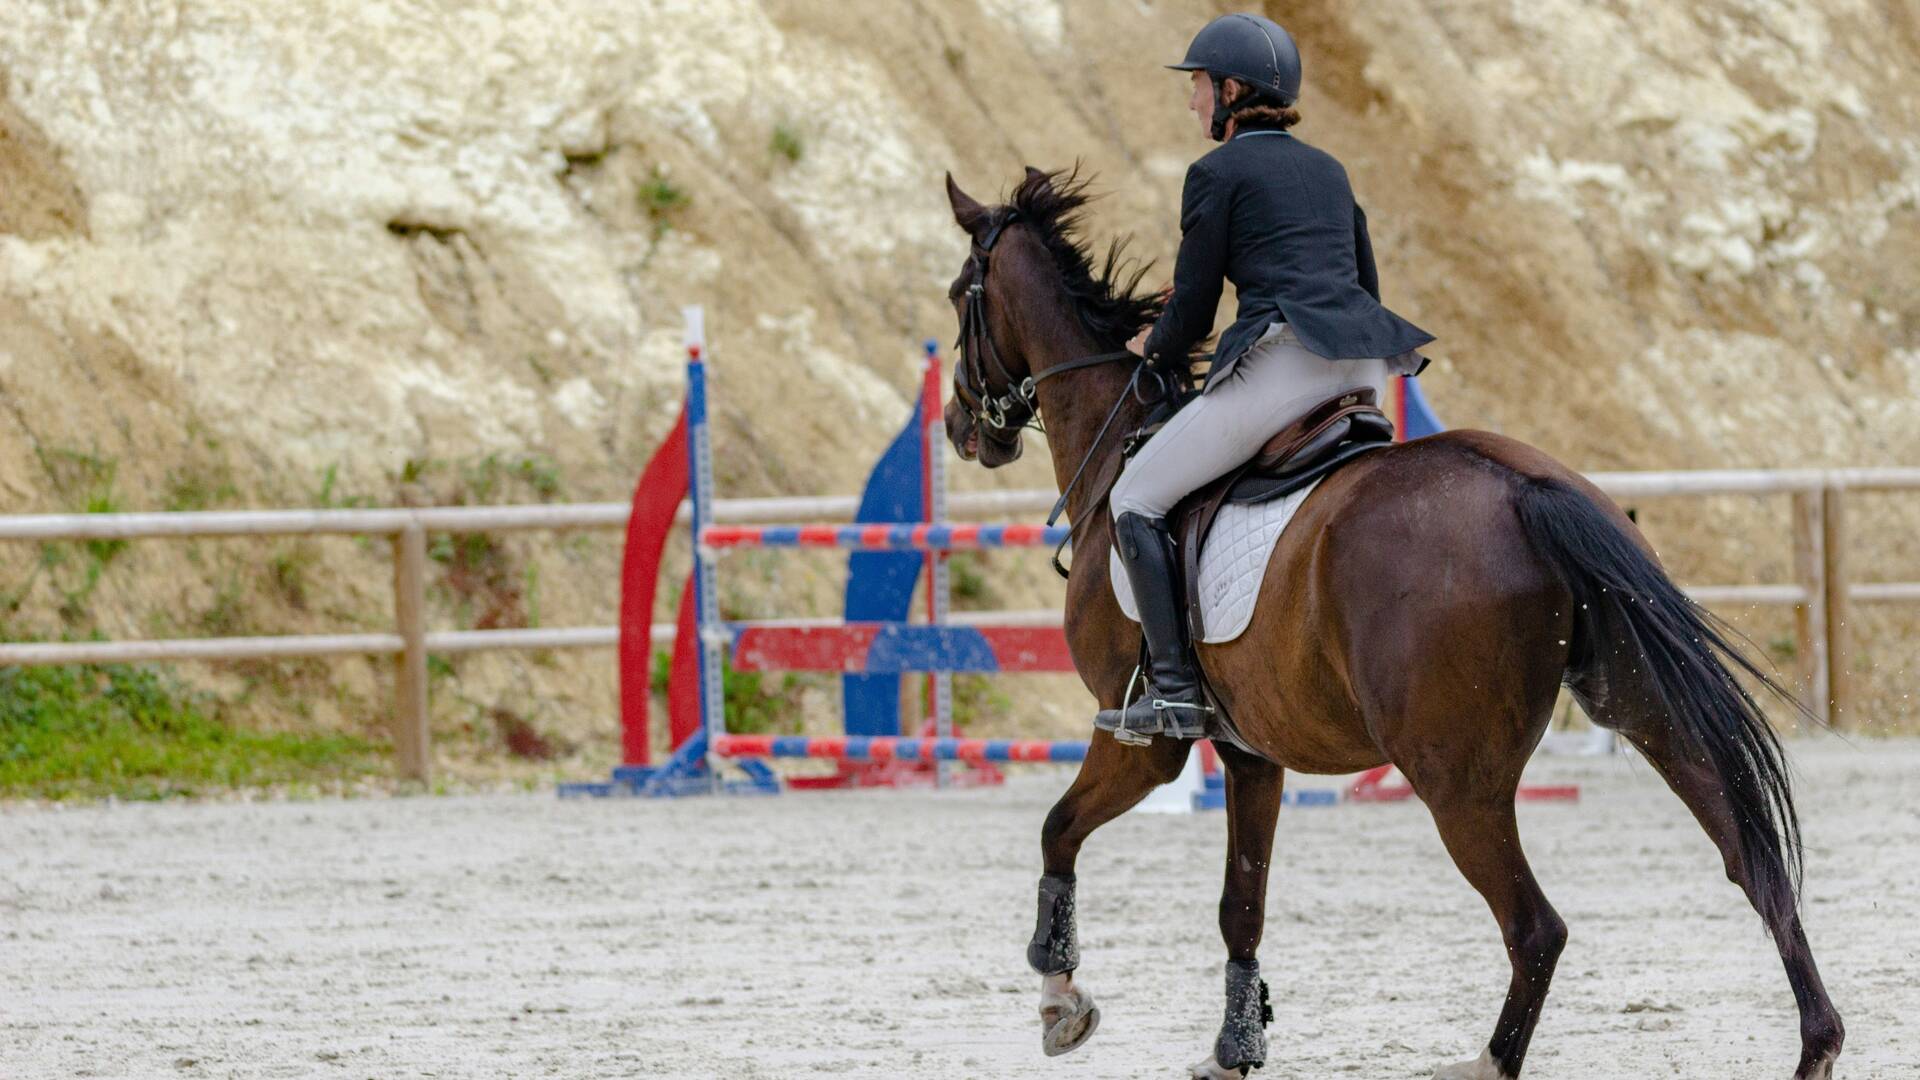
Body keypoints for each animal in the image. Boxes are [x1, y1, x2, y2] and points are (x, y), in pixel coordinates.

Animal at [944, 168, 1843, 1076]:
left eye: (958, 296)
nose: (959, 428)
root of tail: (1523, 488)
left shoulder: (1141, 740)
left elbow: (1058, 831)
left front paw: (1061, 999)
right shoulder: (1252, 753)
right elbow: (1242, 904)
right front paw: (1235, 1046)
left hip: (1453, 776)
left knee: (1537, 927)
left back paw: (1487, 1062)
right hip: (1636, 702)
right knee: (1750, 859)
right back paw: (1818, 1044)